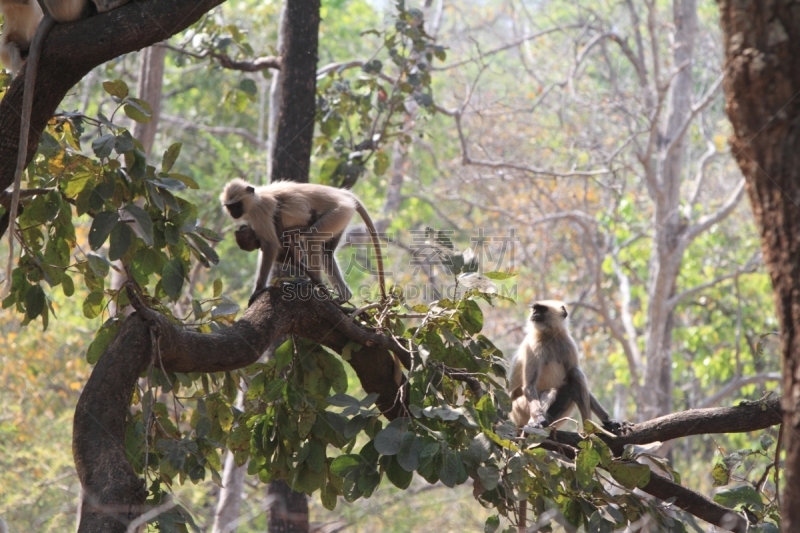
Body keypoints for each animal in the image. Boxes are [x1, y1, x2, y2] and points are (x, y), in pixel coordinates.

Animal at [222, 178, 388, 304]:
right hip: (342, 218)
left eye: (237, 205)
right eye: (230, 207)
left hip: (339, 212)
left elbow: (270, 245)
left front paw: (258, 290)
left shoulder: (259, 211)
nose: (234, 212)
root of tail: (341, 194)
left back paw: (312, 283)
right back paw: (343, 297)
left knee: (312, 238)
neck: (256, 198)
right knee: (326, 254)